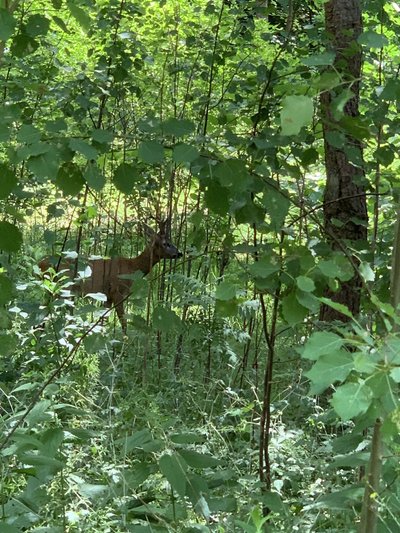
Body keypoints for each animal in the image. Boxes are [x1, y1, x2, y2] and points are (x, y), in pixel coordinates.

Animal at [38, 217, 182, 332]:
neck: (132, 267)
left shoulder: (107, 295)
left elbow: (103, 320)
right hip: (62, 287)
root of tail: (41, 263)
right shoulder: (117, 291)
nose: (179, 253)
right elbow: (123, 322)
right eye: (166, 243)